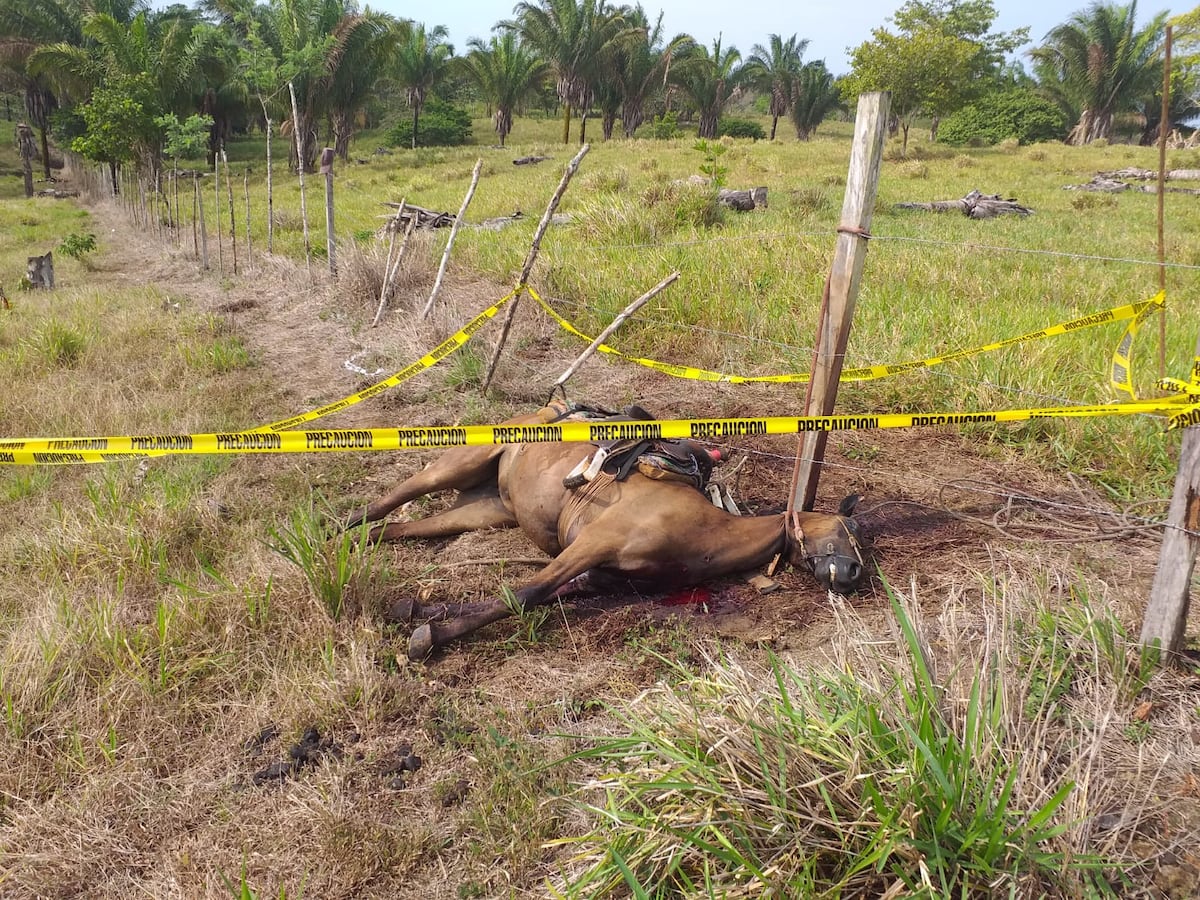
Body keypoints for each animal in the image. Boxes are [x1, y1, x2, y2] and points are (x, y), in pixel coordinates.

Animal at [350, 405, 868, 657]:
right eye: (850, 527)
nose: (852, 573)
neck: (706, 533)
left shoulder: (599, 577)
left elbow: (533, 596)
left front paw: (417, 611)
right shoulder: (593, 544)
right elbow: (524, 594)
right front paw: (429, 638)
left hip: (484, 509)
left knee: (400, 527)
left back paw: (358, 543)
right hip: (455, 465)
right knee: (386, 502)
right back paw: (339, 531)